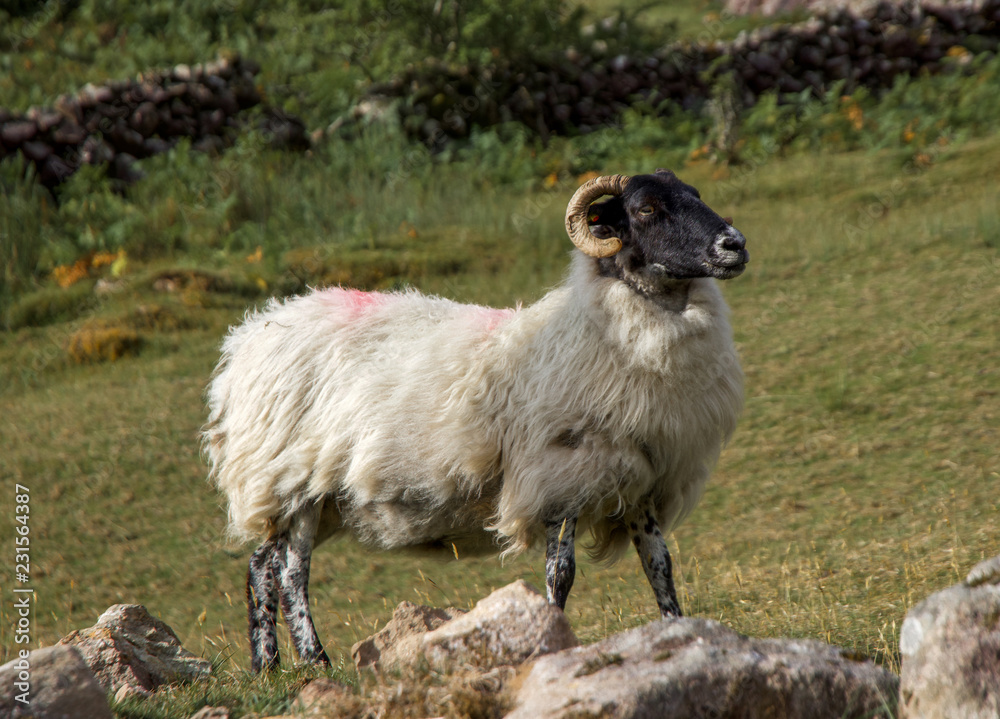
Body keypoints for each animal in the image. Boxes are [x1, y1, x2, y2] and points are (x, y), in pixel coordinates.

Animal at [204, 169, 749, 672]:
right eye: (645, 210)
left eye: (695, 195)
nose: (735, 244)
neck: (601, 331)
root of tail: (249, 337)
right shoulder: (560, 477)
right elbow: (561, 573)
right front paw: (553, 637)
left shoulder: (639, 480)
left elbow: (659, 565)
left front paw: (679, 630)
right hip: (292, 480)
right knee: (291, 574)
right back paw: (315, 662)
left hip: (315, 497)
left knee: (260, 565)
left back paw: (268, 668)